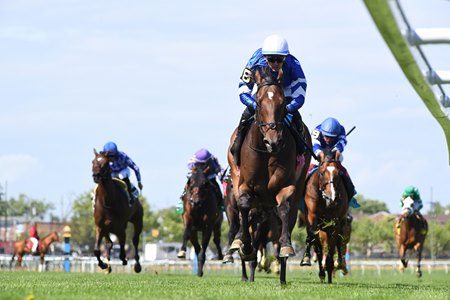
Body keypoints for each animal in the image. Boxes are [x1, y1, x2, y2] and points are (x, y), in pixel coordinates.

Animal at [227, 67, 312, 284]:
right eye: (258, 102)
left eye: (282, 102)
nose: (273, 141)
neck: (266, 153)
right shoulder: (245, 186)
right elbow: (244, 207)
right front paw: (244, 245)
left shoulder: (286, 186)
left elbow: (284, 209)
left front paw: (286, 247)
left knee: (288, 217)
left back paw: (281, 275)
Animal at [304, 150, 350, 284]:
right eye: (322, 172)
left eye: (338, 173)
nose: (332, 197)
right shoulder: (312, 218)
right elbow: (316, 244)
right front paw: (320, 271)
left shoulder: (335, 222)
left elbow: (332, 247)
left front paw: (329, 269)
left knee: (338, 242)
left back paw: (339, 264)